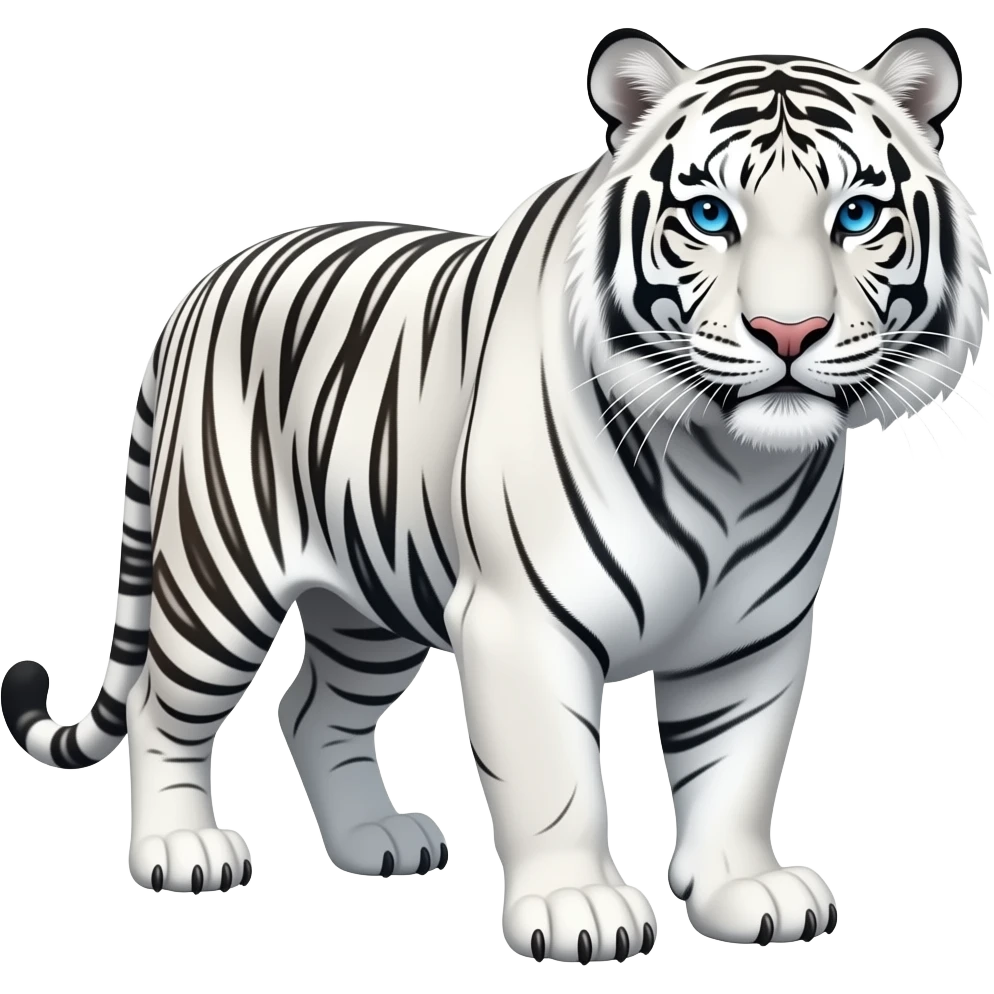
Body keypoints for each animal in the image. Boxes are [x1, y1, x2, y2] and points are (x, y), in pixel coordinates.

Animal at [2, 25, 989, 963]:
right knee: (164, 708)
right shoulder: (523, 621)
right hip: (219, 579)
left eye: (856, 214)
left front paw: (745, 890)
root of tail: (204, 284)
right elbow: (556, 777)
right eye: (710, 214)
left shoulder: (754, 633)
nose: (789, 331)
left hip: (372, 606)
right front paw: (578, 907)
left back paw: (373, 840)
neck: (734, 462)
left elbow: (734, 766)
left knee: (312, 709)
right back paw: (183, 851)